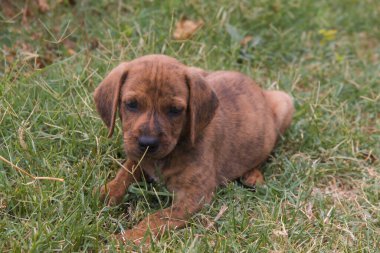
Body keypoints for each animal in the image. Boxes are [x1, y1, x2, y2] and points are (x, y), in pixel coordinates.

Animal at [93, 54, 294, 244]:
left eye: (175, 110)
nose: (147, 142)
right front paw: (106, 193)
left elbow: (156, 218)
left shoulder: (194, 196)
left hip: (285, 102)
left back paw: (253, 174)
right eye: (131, 104)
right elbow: (125, 173)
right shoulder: (138, 158)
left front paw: (128, 239)